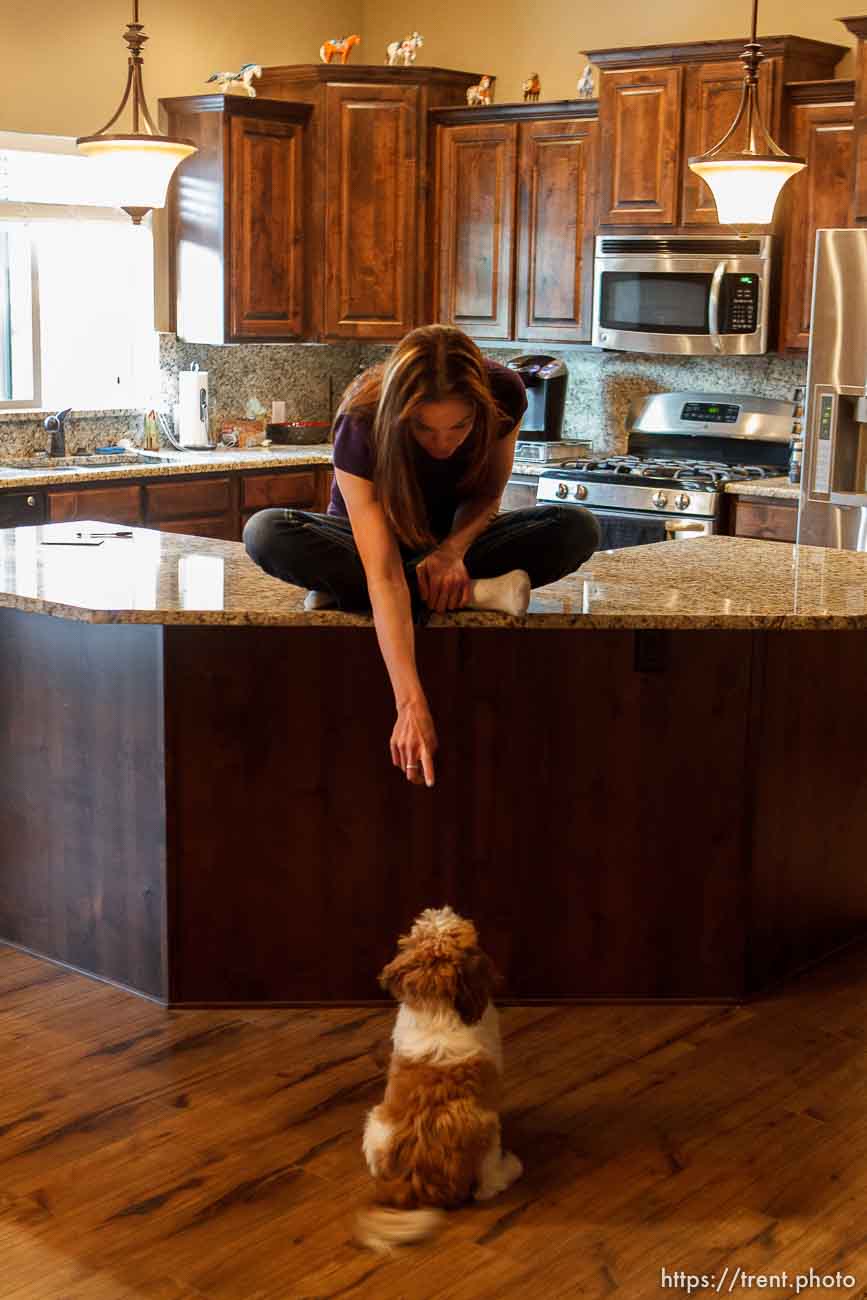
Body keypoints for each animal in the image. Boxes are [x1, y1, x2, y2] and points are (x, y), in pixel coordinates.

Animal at [353, 904, 522, 1248]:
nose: (445, 909)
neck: (438, 1006)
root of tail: (412, 1186)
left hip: (375, 1120)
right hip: (486, 1130)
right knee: (486, 1188)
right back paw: (510, 1169)